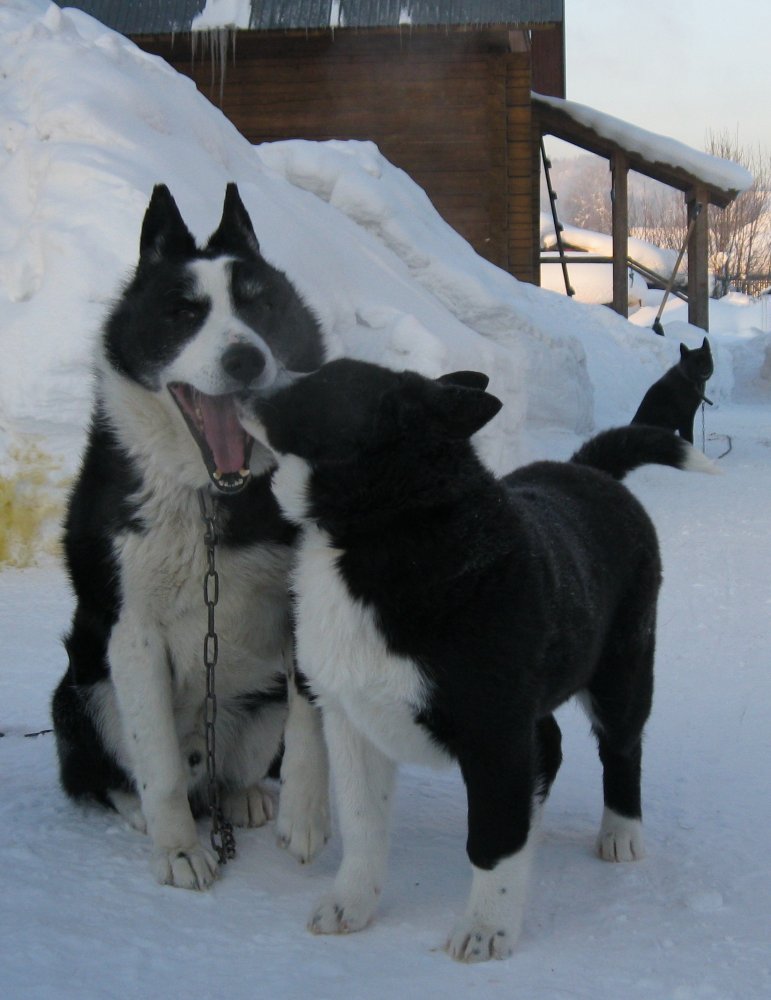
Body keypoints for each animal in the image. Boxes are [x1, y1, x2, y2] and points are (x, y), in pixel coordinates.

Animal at [52, 184, 331, 889]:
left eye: (260, 304)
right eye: (183, 313)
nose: (246, 358)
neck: (213, 501)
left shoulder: (305, 608)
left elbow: (308, 717)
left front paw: (307, 813)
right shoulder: (133, 635)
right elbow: (159, 767)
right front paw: (178, 848)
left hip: (255, 706)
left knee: (239, 766)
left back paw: (246, 795)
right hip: (82, 690)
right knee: (109, 774)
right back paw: (141, 811)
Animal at [237, 358, 717, 961]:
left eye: (330, 384)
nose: (243, 380)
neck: (379, 530)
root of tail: (588, 470)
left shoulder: (495, 732)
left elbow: (492, 839)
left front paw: (489, 928)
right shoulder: (354, 719)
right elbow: (364, 822)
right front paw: (351, 903)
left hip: (624, 670)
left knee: (622, 749)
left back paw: (621, 833)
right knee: (550, 748)